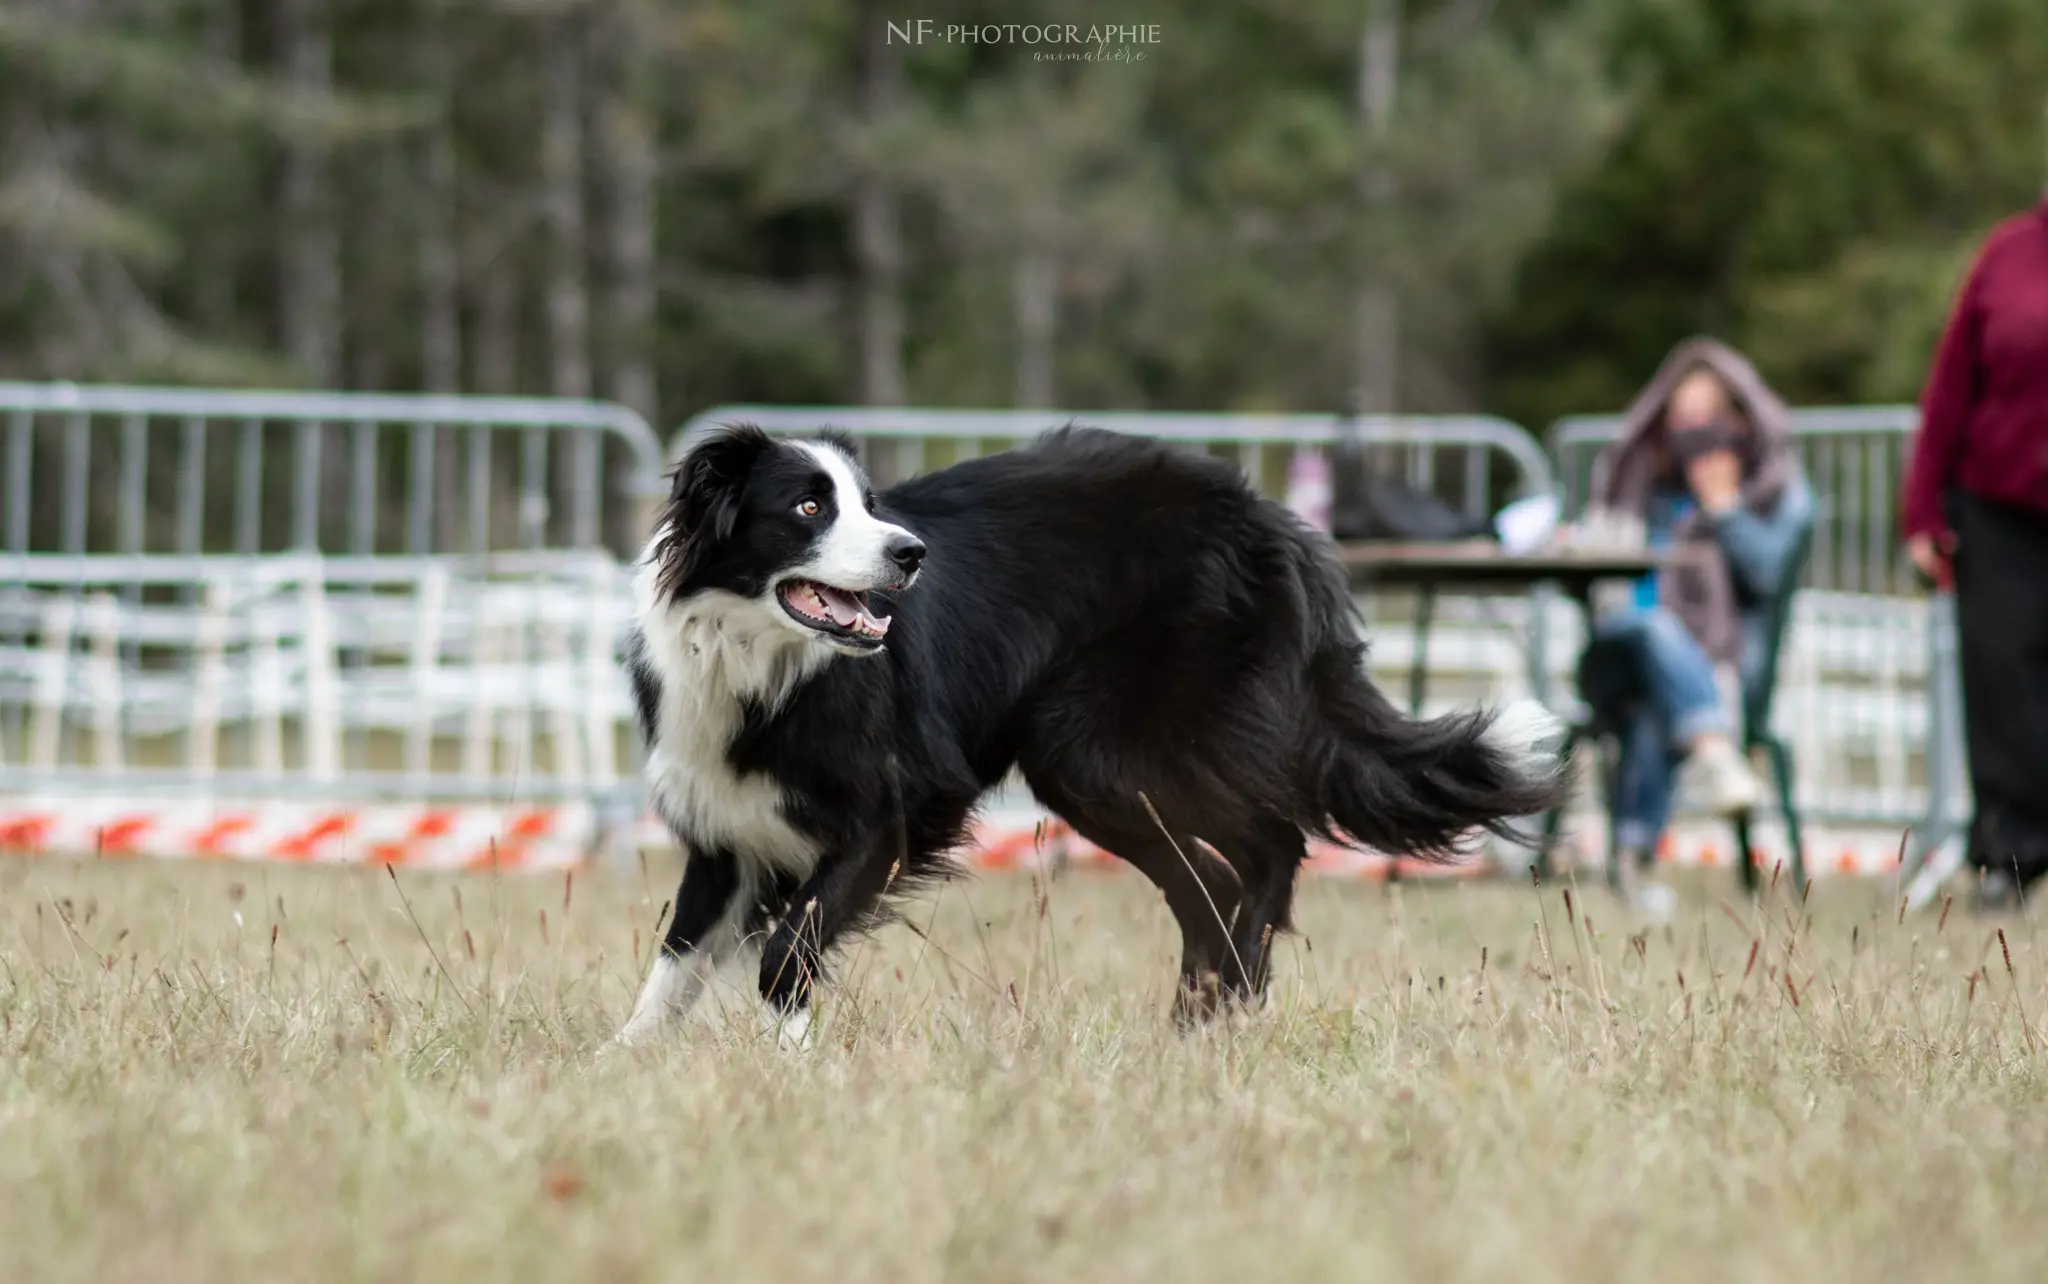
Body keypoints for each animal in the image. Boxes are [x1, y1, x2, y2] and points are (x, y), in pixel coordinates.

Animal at [614, 421, 1556, 1044]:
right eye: (811, 506)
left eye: (871, 506)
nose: (910, 554)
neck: (762, 662)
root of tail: (1272, 520)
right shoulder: (727, 832)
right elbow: (677, 959)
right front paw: (625, 1063)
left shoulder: (889, 814)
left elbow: (788, 948)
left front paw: (792, 1056)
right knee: (1210, 879)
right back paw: (1198, 1023)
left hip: (1102, 746)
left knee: (1267, 845)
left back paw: (1225, 1010)